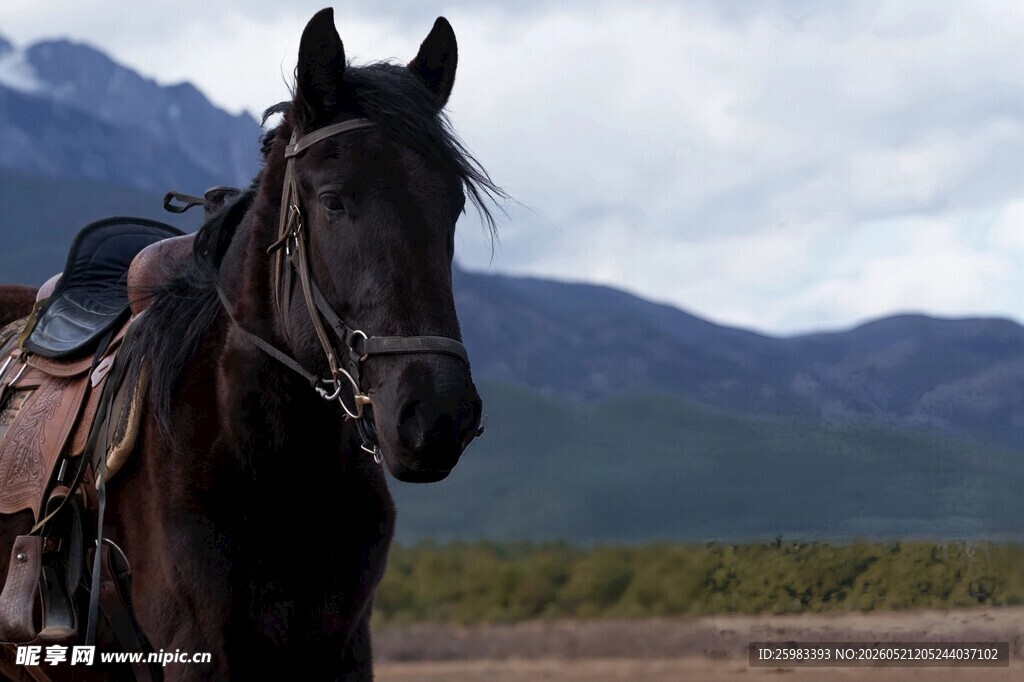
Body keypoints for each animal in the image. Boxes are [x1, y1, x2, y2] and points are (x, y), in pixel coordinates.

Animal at [0, 8, 501, 680]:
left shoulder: (347, 648)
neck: (278, 470)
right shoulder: (200, 651)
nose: (439, 416)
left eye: (452, 207)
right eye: (332, 200)